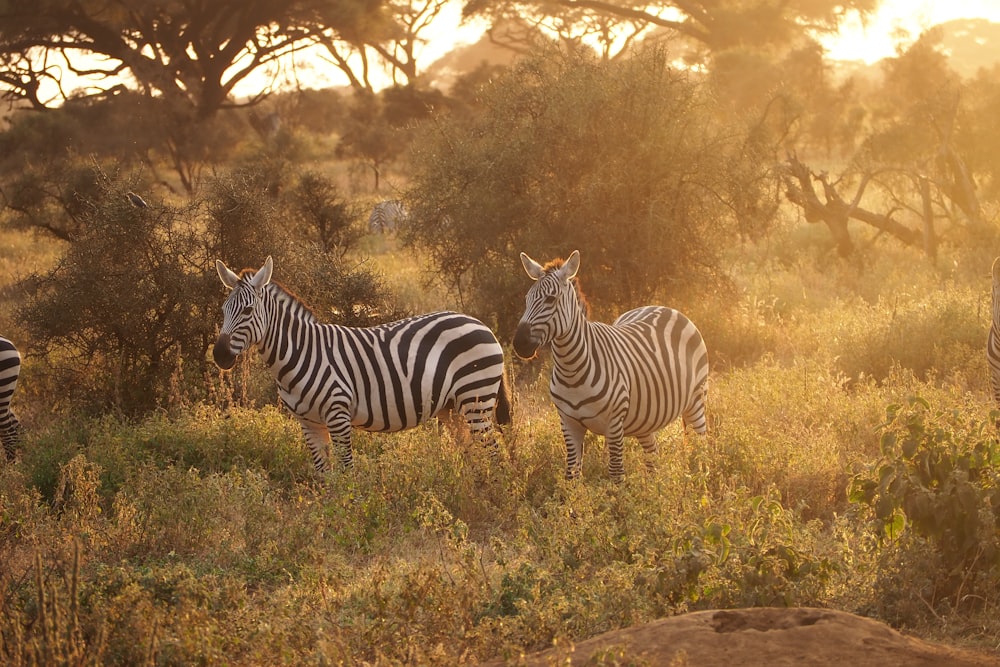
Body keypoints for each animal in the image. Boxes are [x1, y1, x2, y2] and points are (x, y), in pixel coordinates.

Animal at [214, 256, 512, 474]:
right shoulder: (308, 423)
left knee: (494, 453)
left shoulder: (338, 414)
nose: (219, 355)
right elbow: (324, 474)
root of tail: (481, 324)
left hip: (476, 399)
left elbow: (346, 470)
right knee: (473, 452)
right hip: (452, 407)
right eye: (223, 311)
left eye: (247, 311)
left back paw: (495, 499)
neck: (299, 354)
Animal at [516, 250, 712, 480]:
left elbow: (616, 474)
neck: (571, 369)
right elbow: (572, 475)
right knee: (653, 458)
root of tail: (664, 307)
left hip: (696, 402)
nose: (519, 343)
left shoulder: (614, 423)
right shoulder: (568, 422)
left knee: (700, 452)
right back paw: (655, 487)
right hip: (645, 420)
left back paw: (698, 485)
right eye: (526, 299)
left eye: (550, 299)